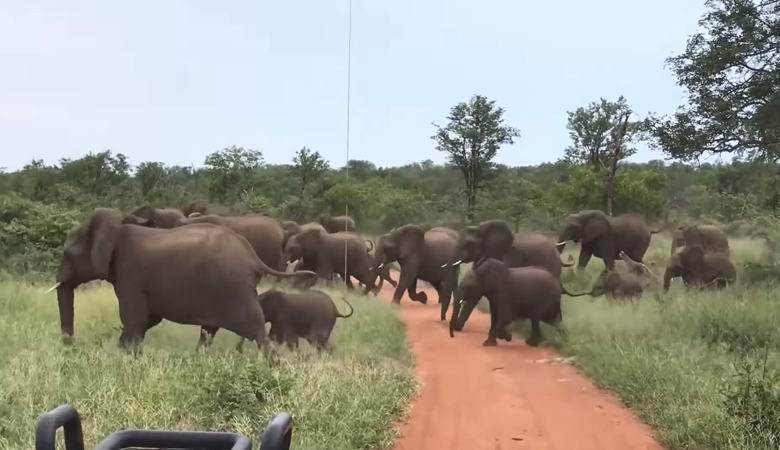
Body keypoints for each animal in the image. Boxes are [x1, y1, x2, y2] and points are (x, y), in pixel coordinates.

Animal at [47, 209, 316, 350]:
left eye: (67, 254)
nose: (70, 344)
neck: (115, 228)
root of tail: (252, 256)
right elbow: (148, 320)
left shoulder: (130, 274)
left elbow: (134, 318)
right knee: (210, 331)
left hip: (234, 289)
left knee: (256, 330)